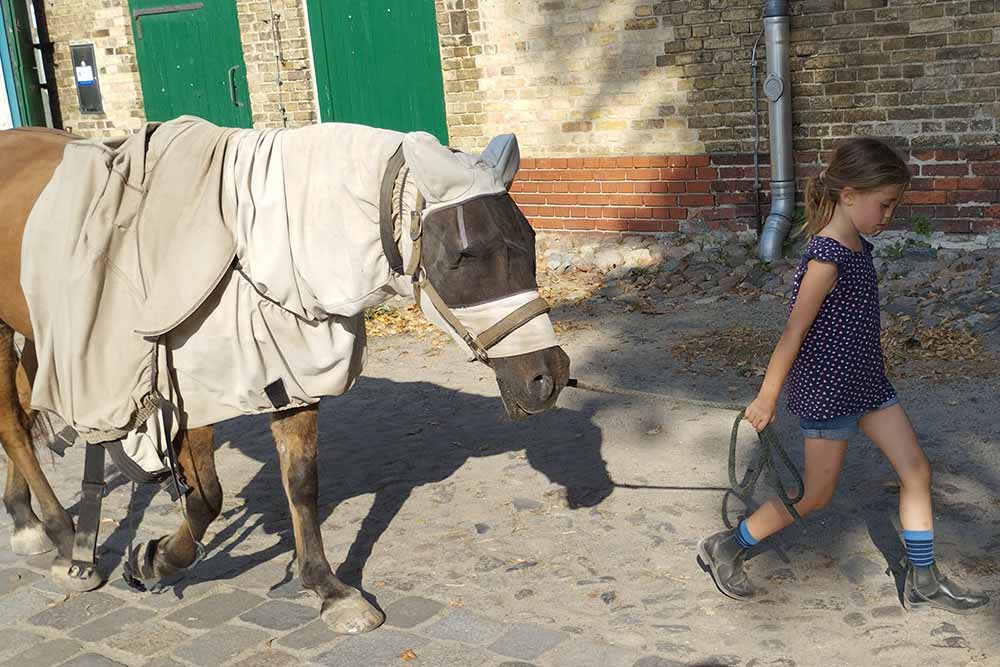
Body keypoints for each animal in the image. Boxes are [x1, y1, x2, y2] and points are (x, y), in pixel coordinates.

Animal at [0, 121, 572, 636]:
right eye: (462, 255)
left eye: (529, 238)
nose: (547, 376)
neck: (259, 251)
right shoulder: (191, 396)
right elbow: (206, 498)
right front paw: (156, 558)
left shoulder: (291, 374)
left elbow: (301, 483)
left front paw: (328, 590)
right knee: (13, 424)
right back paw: (61, 536)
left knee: (26, 410)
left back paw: (29, 519)